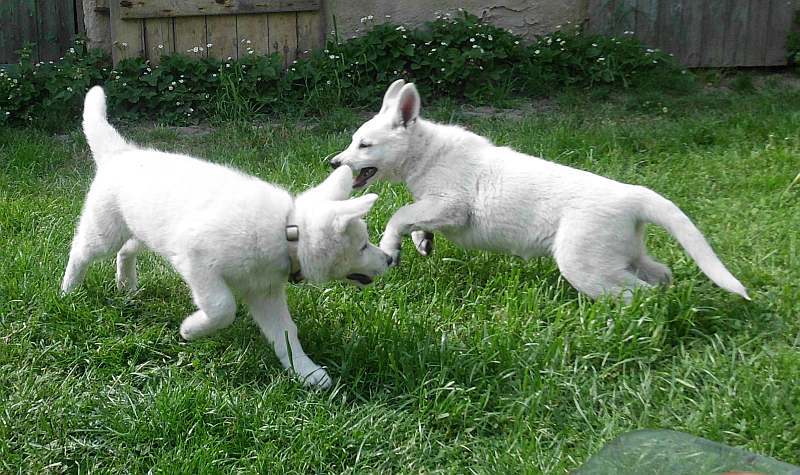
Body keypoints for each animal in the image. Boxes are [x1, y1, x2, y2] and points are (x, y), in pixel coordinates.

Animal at [61, 87, 392, 388]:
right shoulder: (198, 262)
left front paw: (306, 371)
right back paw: (68, 292)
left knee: (127, 250)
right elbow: (223, 308)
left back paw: (126, 285)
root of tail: (121, 153)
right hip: (105, 231)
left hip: (143, 230)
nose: (390, 259)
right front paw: (191, 329)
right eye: (363, 246)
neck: (287, 231)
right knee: (80, 252)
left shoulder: (265, 293)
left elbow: (286, 333)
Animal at [326, 78, 752, 302]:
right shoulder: (435, 208)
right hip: (624, 254)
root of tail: (633, 197)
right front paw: (421, 243)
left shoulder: (451, 206)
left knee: (635, 294)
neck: (427, 152)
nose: (332, 163)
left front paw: (393, 247)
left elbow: (400, 216)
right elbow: (415, 219)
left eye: (364, 145)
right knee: (659, 274)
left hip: (586, 266)